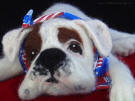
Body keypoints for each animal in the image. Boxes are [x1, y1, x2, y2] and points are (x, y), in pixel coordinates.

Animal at [0, 2, 135, 100]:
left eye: (75, 47)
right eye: (32, 53)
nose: (50, 57)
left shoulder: (105, 57)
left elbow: (118, 67)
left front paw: (124, 92)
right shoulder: (14, 61)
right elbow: (6, 65)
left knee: (113, 35)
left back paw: (127, 43)